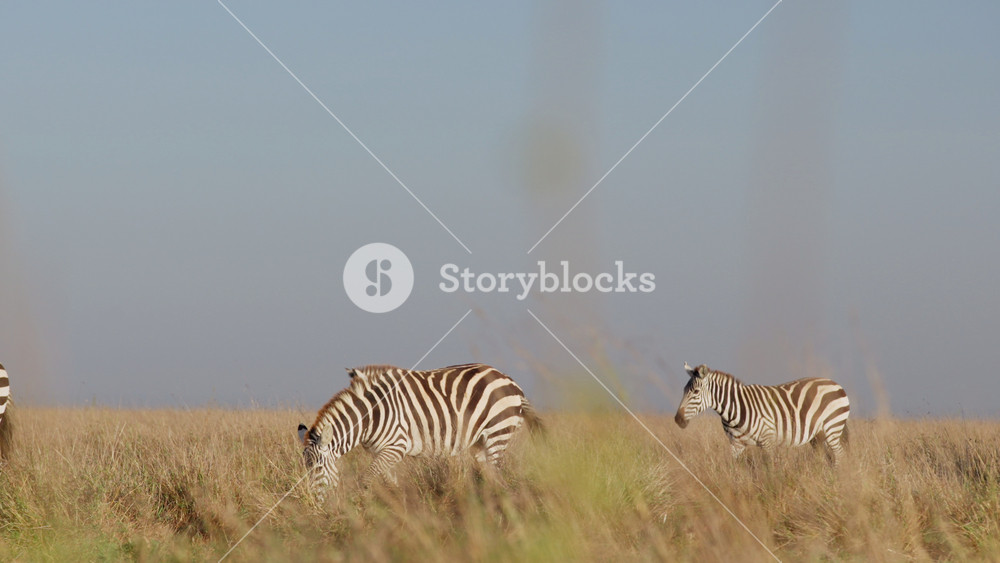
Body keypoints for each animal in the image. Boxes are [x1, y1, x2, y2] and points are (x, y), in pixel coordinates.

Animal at [297, 363, 542, 499]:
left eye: (318, 468)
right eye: (306, 468)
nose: (313, 503)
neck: (370, 417)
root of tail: (510, 381)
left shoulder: (396, 446)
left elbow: (366, 478)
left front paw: (362, 506)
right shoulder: (382, 452)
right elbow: (389, 481)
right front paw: (400, 507)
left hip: (497, 432)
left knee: (498, 473)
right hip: (480, 442)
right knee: (489, 474)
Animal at [674, 362, 850, 464]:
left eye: (695, 392)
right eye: (683, 390)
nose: (678, 420)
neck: (735, 409)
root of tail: (835, 384)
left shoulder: (767, 441)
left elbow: (770, 470)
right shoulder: (736, 444)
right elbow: (733, 468)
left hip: (832, 428)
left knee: (840, 455)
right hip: (819, 435)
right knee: (827, 456)